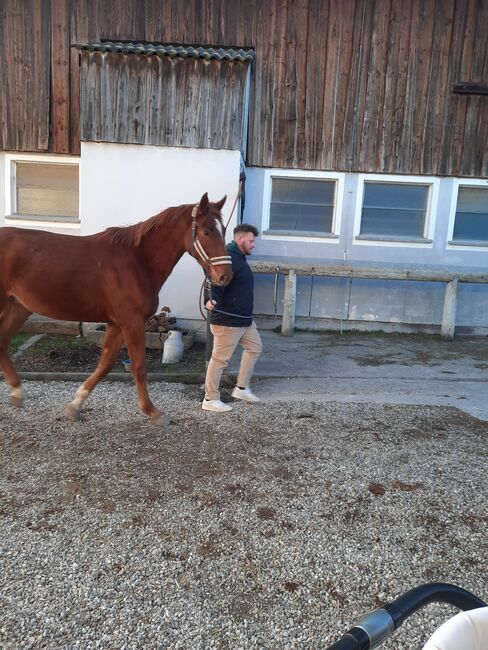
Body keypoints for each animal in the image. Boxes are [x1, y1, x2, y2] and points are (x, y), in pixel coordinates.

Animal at [0, 191, 233, 426]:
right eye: (205, 231)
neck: (138, 260)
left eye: (223, 230)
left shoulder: (116, 324)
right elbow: (139, 366)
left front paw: (76, 404)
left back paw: (17, 392)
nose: (225, 276)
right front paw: (152, 411)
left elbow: (105, 364)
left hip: (18, 307)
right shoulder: (132, 322)